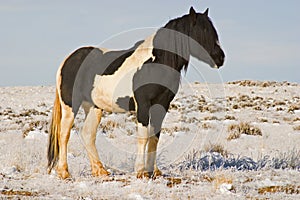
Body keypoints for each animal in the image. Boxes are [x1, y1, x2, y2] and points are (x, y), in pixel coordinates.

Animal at [47, 6, 225, 179]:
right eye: (201, 31)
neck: (155, 63)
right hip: (70, 105)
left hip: (93, 107)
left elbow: (154, 137)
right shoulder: (143, 105)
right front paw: (141, 171)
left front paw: (154, 171)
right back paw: (64, 172)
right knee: (64, 134)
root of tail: (68, 60)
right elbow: (143, 136)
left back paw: (100, 171)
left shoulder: (162, 105)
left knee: (87, 135)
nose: (220, 58)